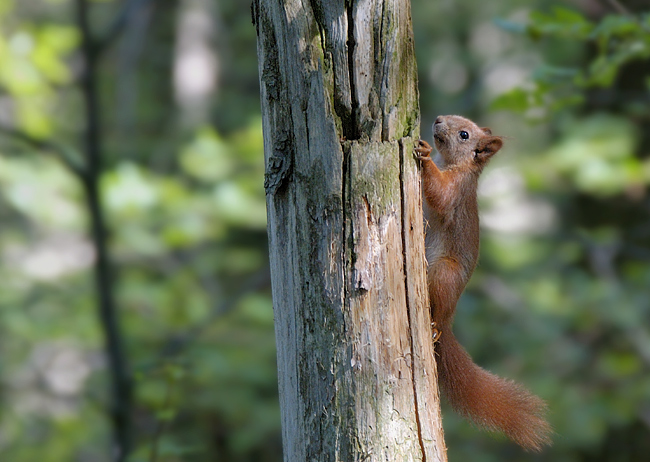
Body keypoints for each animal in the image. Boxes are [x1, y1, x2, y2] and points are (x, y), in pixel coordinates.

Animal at [416, 115, 548, 452]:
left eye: (464, 134)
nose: (437, 119)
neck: (453, 164)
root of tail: (448, 322)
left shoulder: (457, 190)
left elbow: (440, 194)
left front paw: (423, 155)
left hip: (445, 274)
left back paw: (433, 322)